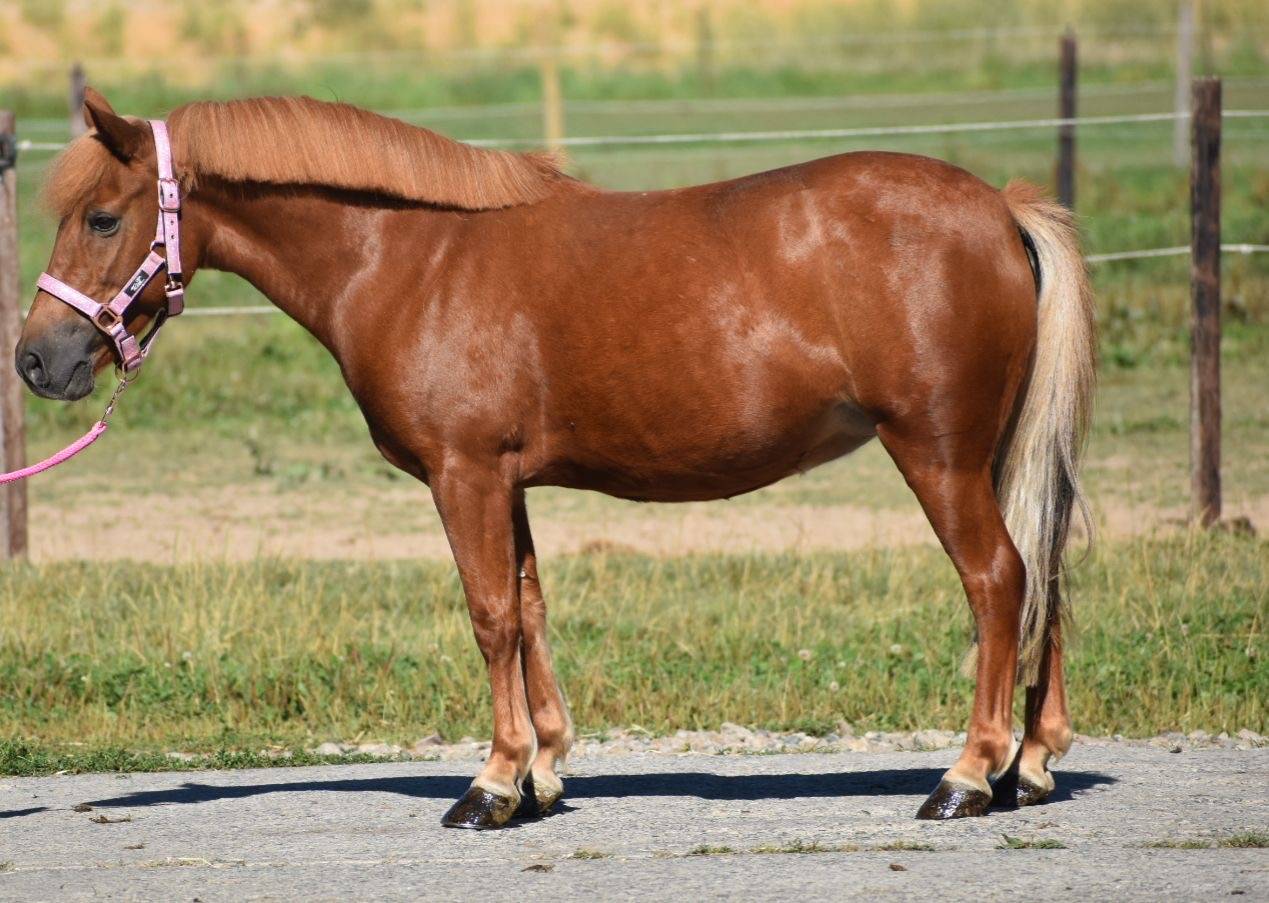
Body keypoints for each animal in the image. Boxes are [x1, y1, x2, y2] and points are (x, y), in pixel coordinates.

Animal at [17, 88, 1095, 829]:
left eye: (103, 217)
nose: (35, 359)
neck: (413, 258)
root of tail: (999, 208)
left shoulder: (464, 475)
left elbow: (490, 616)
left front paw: (490, 785)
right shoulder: (508, 480)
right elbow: (530, 610)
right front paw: (540, 774)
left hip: (937, 453)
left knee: (998, 578)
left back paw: (968, 775)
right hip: (993, 452)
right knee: (1044, 573)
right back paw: (1032, 765)